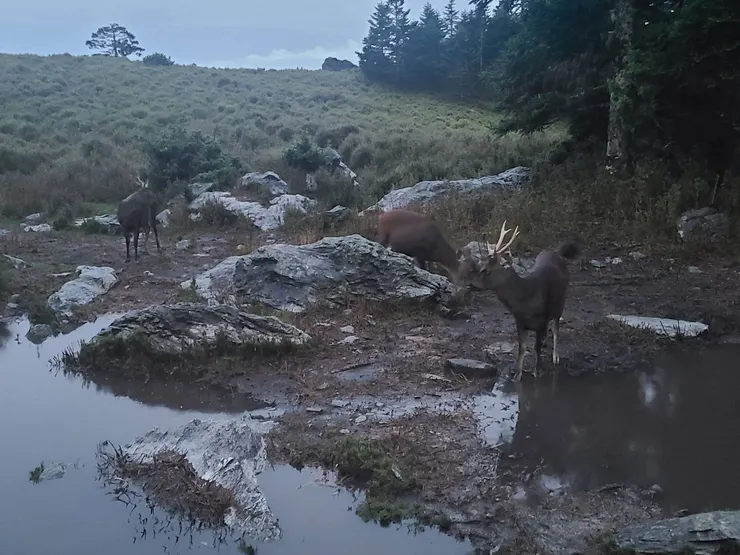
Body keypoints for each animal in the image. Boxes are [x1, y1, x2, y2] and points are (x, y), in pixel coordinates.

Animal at [458, 221, 581, 381]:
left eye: (486, 270)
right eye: (480, 265)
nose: (470, 284)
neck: (525, 302)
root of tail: (557, 253)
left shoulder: (541, 320)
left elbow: (536, 347)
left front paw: (537, 371)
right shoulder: (520, 322)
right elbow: (522, 347)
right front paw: (517, 374)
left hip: (560, 303)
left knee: (556, 328)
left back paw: (555, 356)